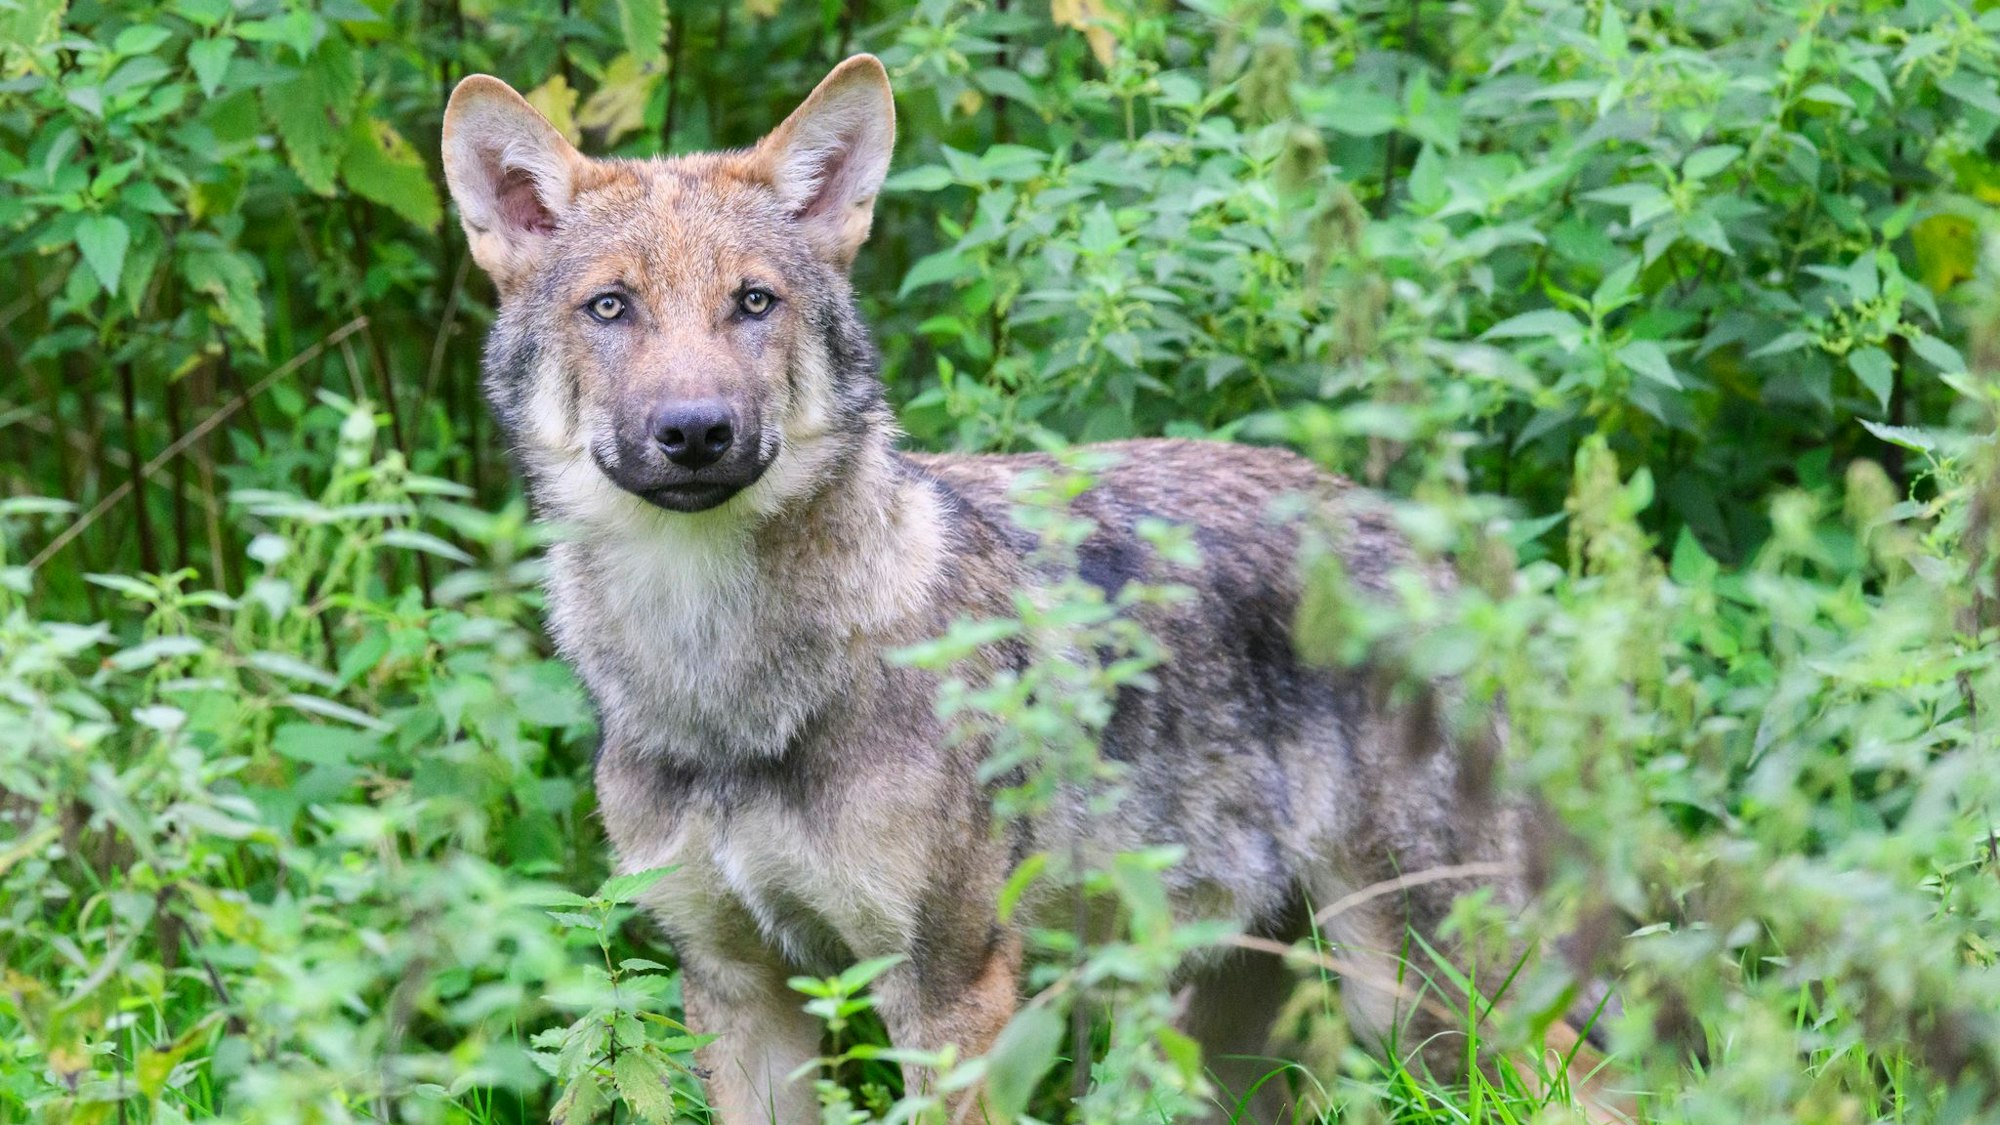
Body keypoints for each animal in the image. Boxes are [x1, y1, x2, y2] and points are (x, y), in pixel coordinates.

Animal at [442, 55, 1559, 1123]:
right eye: (611, 307)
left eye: (752, 302)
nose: (695, 430)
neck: (720, 681)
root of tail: (1426, 546)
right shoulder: (735, 985)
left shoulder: (947, 988)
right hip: (1238, 1038)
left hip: (1430, 1004)